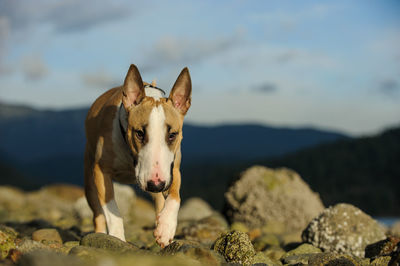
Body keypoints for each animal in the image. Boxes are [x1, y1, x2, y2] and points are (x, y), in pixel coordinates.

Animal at [83, 64, 191, 247]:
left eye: (172, 135)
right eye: (139, 133)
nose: (156, 184)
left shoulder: (173, 170)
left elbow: (175, 196)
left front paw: (166, 228)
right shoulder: (100, 170)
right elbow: (111, 207)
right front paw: (117, 238)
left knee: (160, 201)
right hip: (89, 180)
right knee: (97, 213)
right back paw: (99, 234)